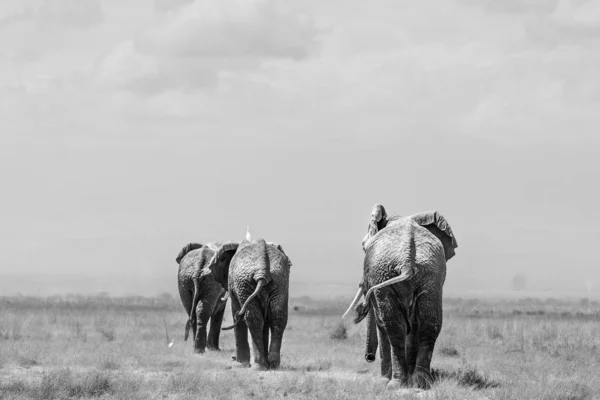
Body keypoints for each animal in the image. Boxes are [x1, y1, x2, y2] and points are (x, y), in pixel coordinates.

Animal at [221, 230, 294, 370]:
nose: (233, 358)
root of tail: (262, 270)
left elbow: (237, 314)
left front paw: (240, 364)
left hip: (244, 283)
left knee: (253, 319)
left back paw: (258, 366)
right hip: (280, 279)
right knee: (278, 317)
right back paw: (273, 365)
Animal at [342, 206, 460, 390]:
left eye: (363, 247)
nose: (369, 357)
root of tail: (407, 258)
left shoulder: (377, 282)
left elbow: (382, 323)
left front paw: (382, 382)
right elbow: (415, 326)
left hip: (385, 275)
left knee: (393, 326)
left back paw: (395, 384)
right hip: (430, 275)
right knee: (429, 323)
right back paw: (420, 382)